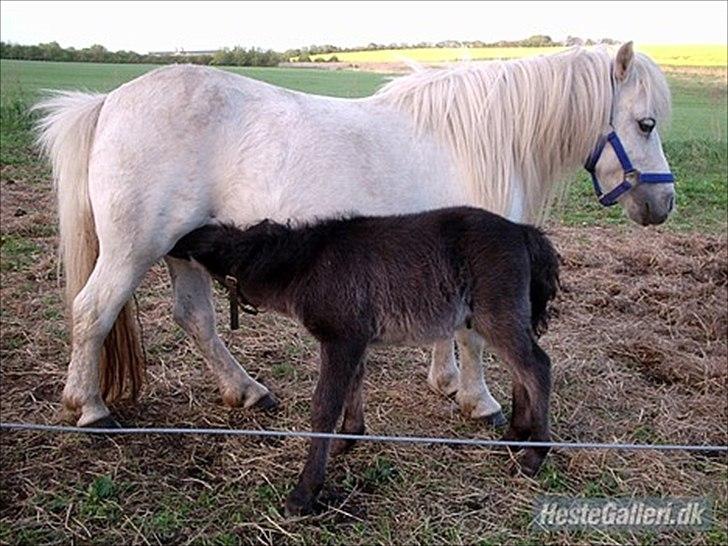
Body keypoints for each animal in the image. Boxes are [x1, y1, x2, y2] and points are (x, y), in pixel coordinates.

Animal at [35, 43, 672, 424]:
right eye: (646, 123)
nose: (663, 203)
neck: (475, 138)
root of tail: (109, 102)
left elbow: (448, 327)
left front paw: (445, 384)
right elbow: (472, 337)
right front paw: (480, 402)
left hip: (184, 251)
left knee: (196, 320)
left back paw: (247, 391)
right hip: (134, 248)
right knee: (92, 311)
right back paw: (89, 407)